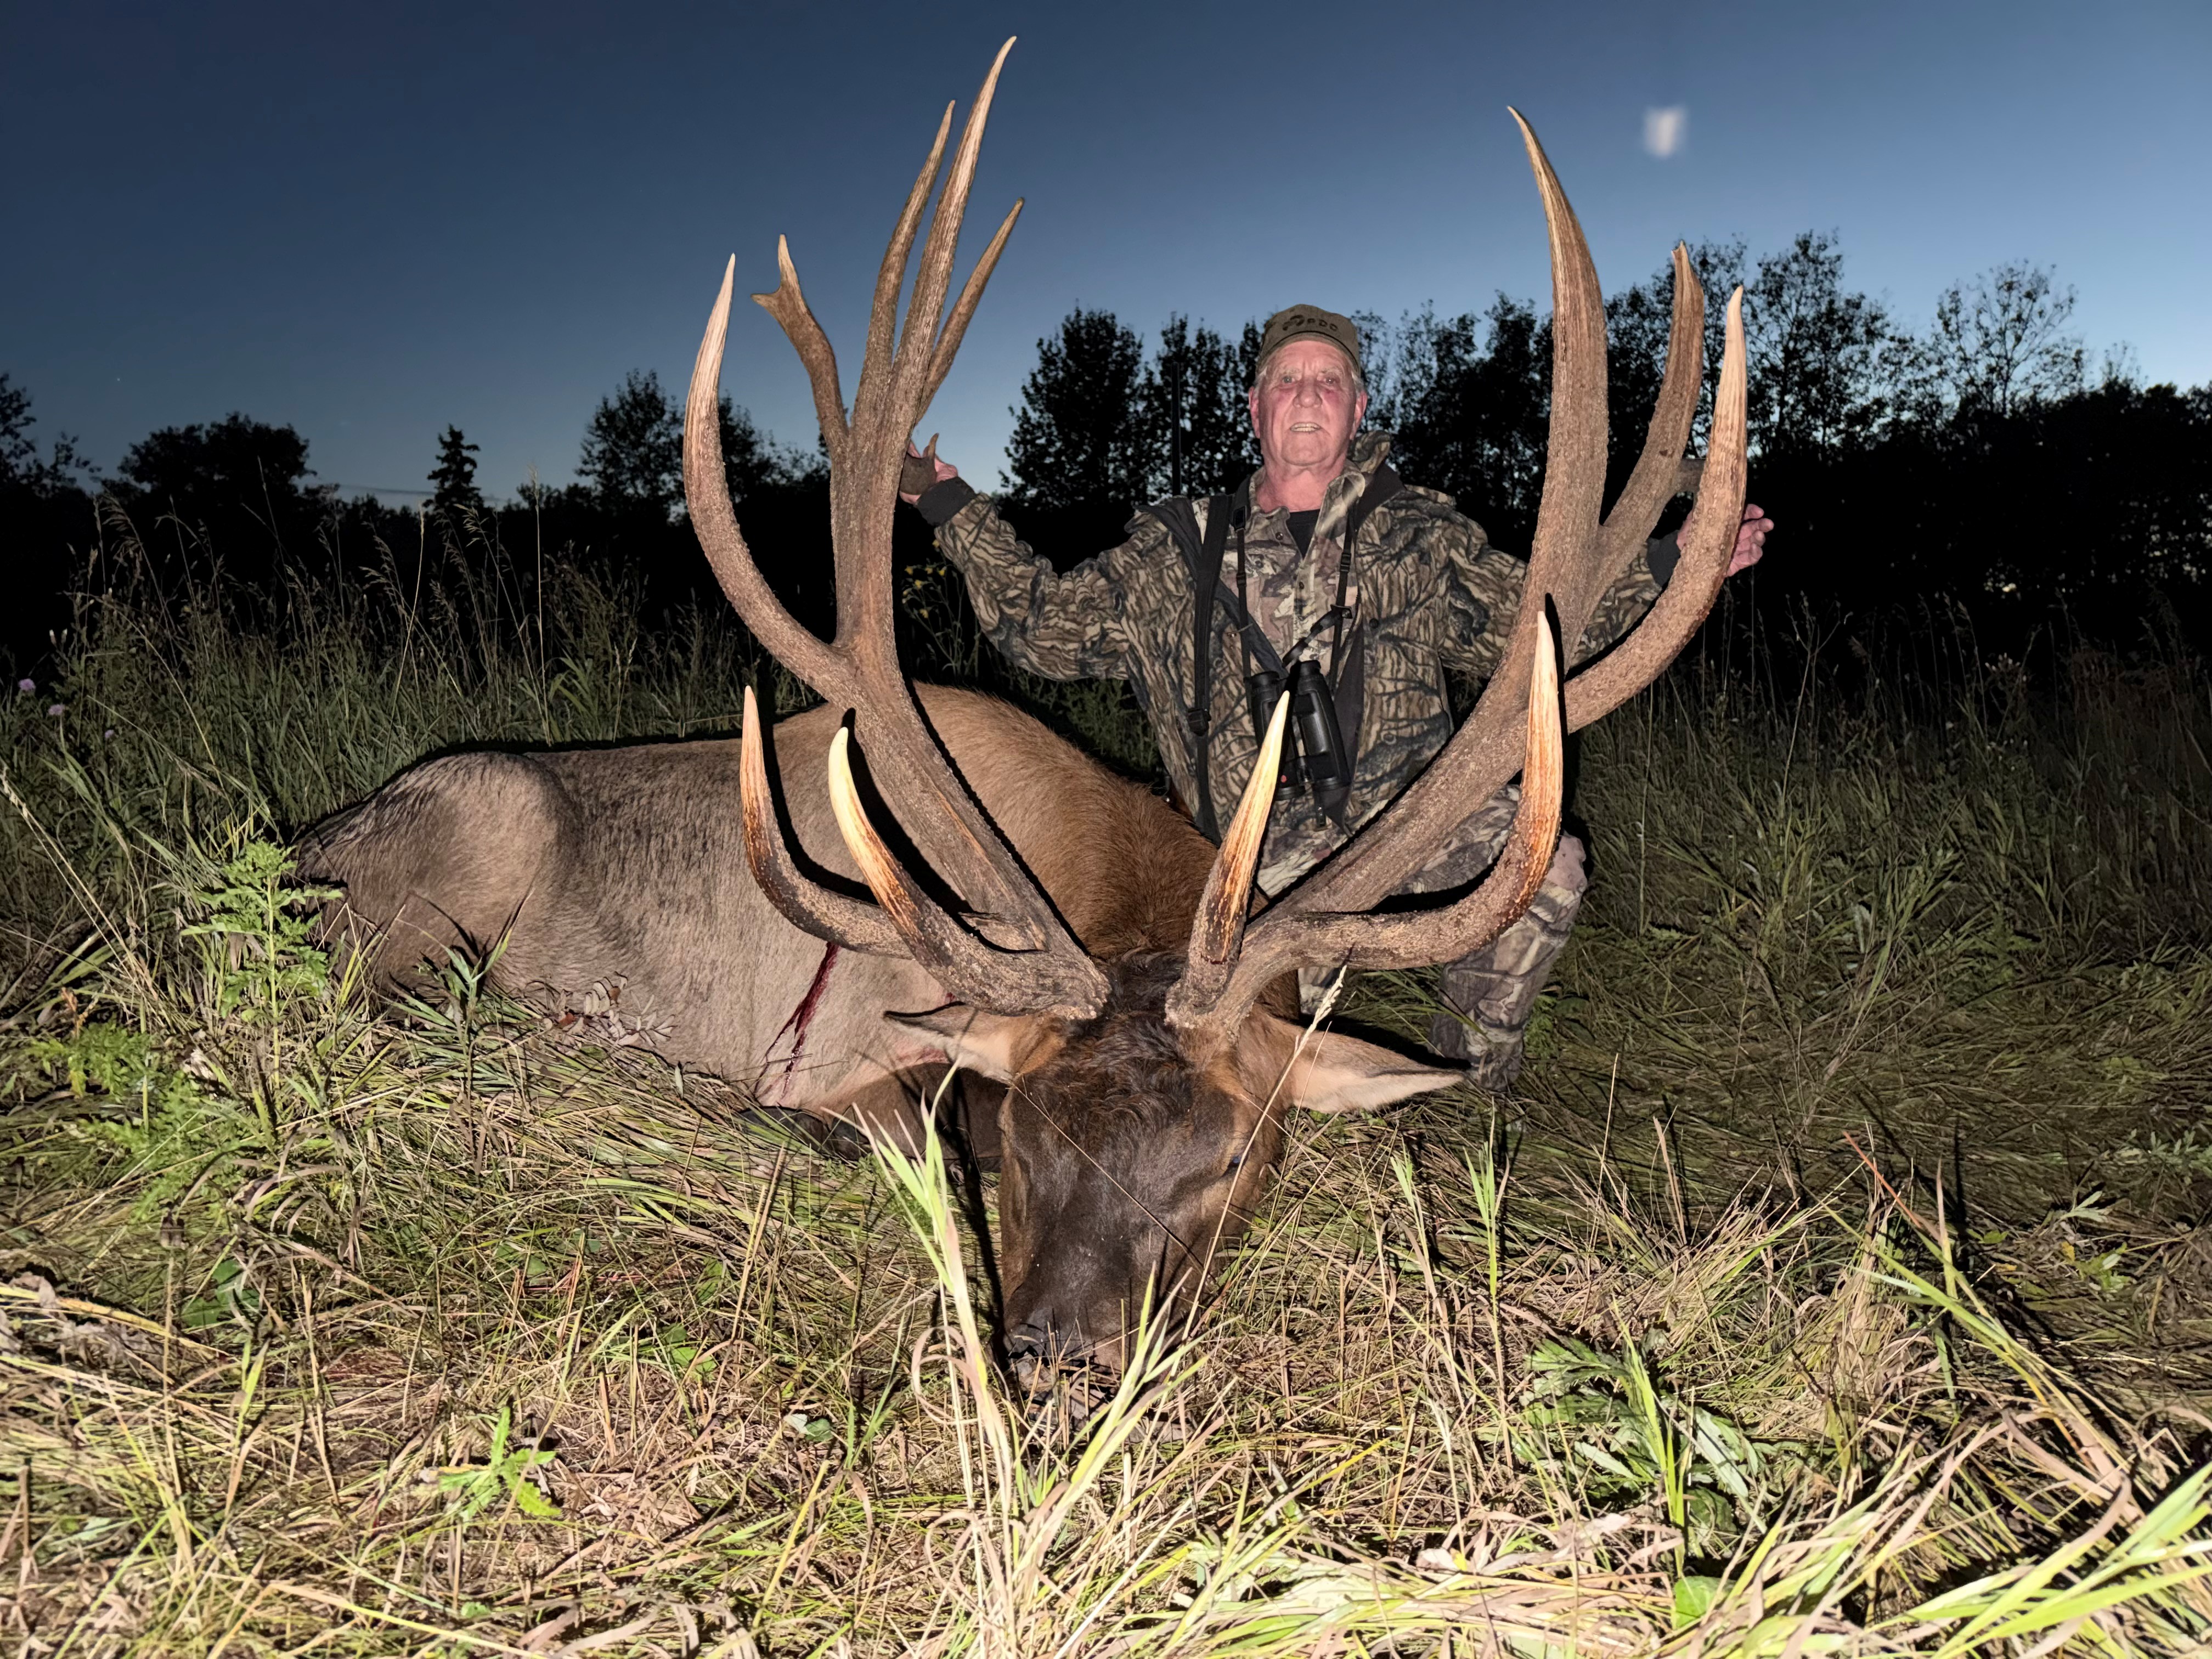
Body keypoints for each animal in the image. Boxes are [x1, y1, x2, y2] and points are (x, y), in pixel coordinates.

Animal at [300, 39, 1746, 1388]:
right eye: (1035, 1131)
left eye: (1235, 1155)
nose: (1056, 1354)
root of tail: (297, 844)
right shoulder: (851, 1047)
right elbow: (900, 1128)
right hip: (461, 850)